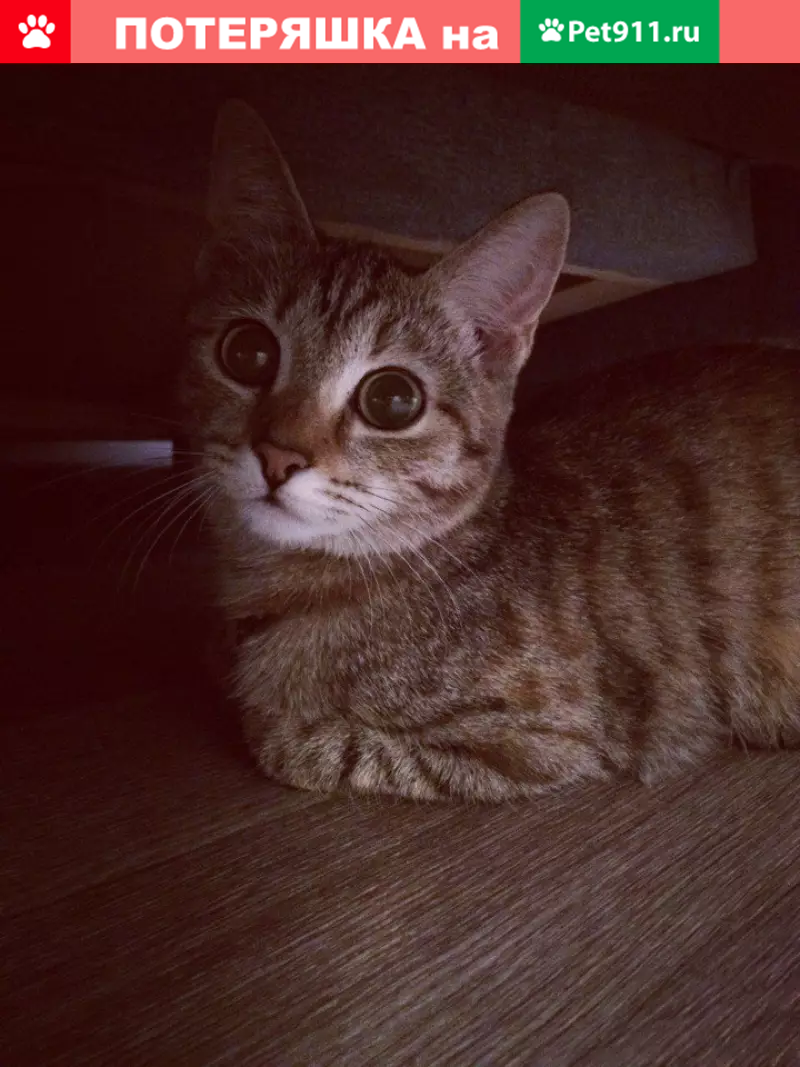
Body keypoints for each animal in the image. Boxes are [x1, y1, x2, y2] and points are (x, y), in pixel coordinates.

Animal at [181, 99, 800, 802]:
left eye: (393, 400)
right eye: (247, 352)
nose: (277, 456)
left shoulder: (546, 741)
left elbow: (307, 746)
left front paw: (263, 713)